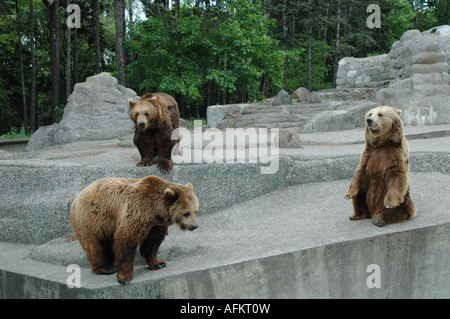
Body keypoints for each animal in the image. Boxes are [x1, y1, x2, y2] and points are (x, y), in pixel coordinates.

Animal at [70, 176, 199, 286]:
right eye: (186, 213)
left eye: (195, 211)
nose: (195, 226)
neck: (156, 211)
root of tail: (77, 198)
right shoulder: (138, 212)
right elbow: (126, 239)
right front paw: (125, 277)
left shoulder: (156, 225)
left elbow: (152, 243)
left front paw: (158, 263)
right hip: (92, 220)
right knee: (95, 246)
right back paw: (105, 268)